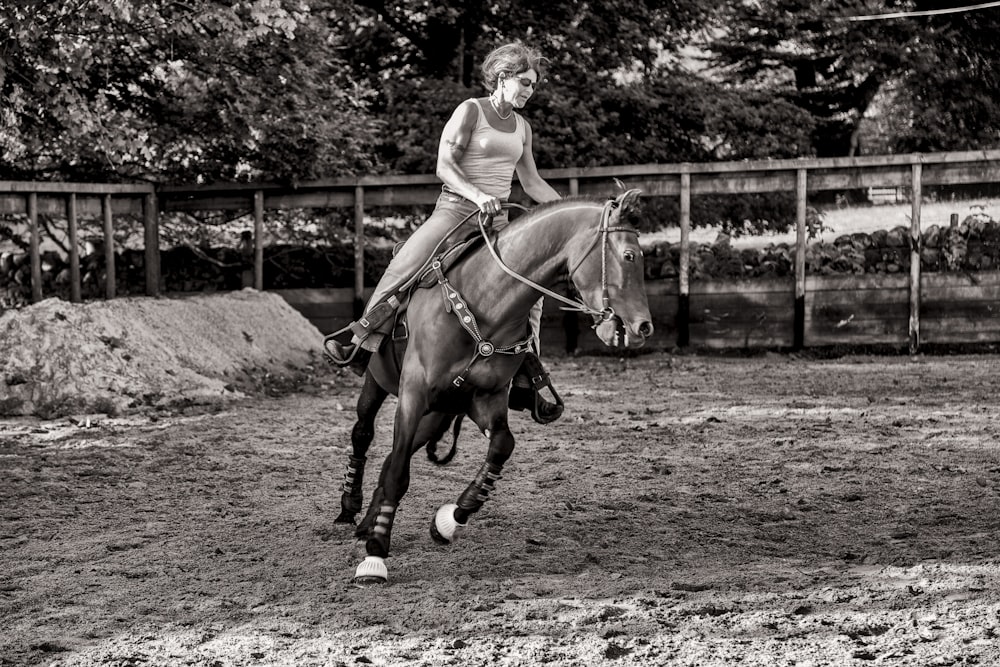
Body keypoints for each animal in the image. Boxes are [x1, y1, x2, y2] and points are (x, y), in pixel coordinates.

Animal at [332, 188, 652, 584]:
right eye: (628, 256)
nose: (642, 327)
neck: (485, 303)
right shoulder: (412, 394)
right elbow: (396, 473)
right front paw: (375, 554)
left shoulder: (487, 398)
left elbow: (501, 446)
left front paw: (449, 520)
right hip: (377, 383)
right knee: (363, 432)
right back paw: (350, 508)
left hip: (437, 415)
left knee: (395, 453)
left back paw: (369, 520)